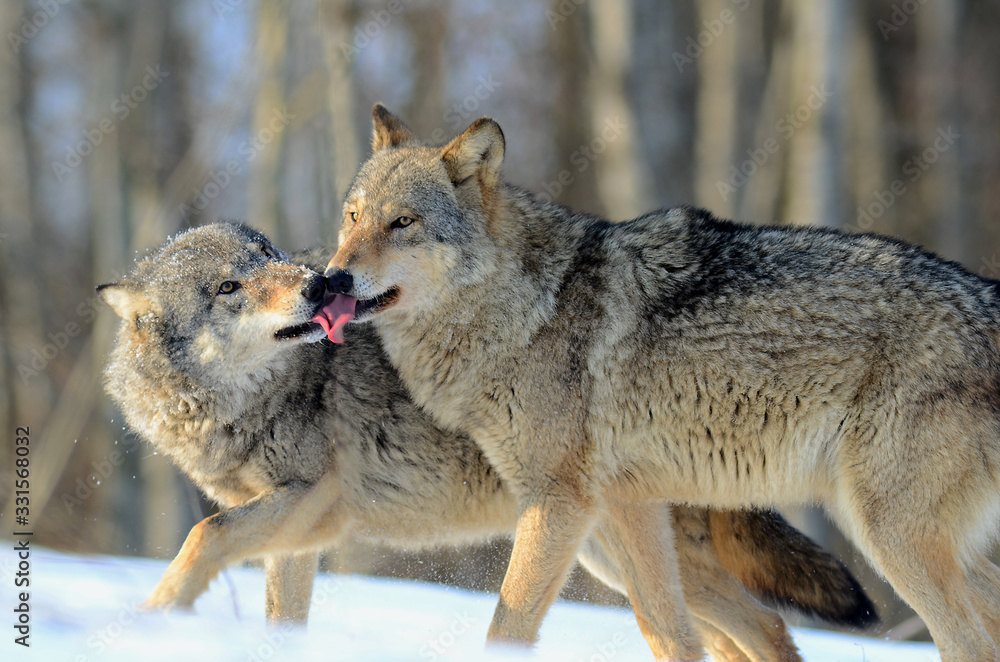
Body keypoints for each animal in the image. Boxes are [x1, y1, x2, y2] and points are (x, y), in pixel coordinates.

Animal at [98, 222, 876, 662]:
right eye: (229, 286)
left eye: (274, 258)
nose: (320, 284)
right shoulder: (299, 541)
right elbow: (274, 613)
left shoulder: (314, 503)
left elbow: (204, 533)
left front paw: (153, 615)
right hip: (611, 558)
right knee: (750, 632)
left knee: (765, 630)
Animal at [322, 105, 1000, 662]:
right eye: (353, 217)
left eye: (403, 223)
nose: (332, 279)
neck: (522, 308)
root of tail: (988, 299)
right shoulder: (631, 505)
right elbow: (670, 635)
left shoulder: (560, 503)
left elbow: (506, 628)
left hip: (891, 538)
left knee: (964, 642)